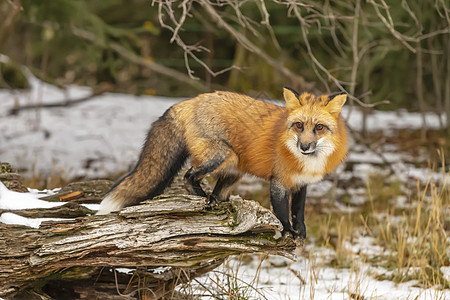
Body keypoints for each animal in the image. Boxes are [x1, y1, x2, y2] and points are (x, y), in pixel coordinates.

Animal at [98, 88, 348, 238]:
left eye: (319, 127)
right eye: (299, 125)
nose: (304, 147)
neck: (305, 161)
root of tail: (189, 101)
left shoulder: (301, 183)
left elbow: (298, 210)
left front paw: (300, 232)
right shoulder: (279, 182)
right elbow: (282, 211)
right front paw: (287, 232)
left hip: (235, 169)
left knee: (218, 191)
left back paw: (219, 204)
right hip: (222, 156)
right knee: (188, 176)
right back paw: (203, 200)